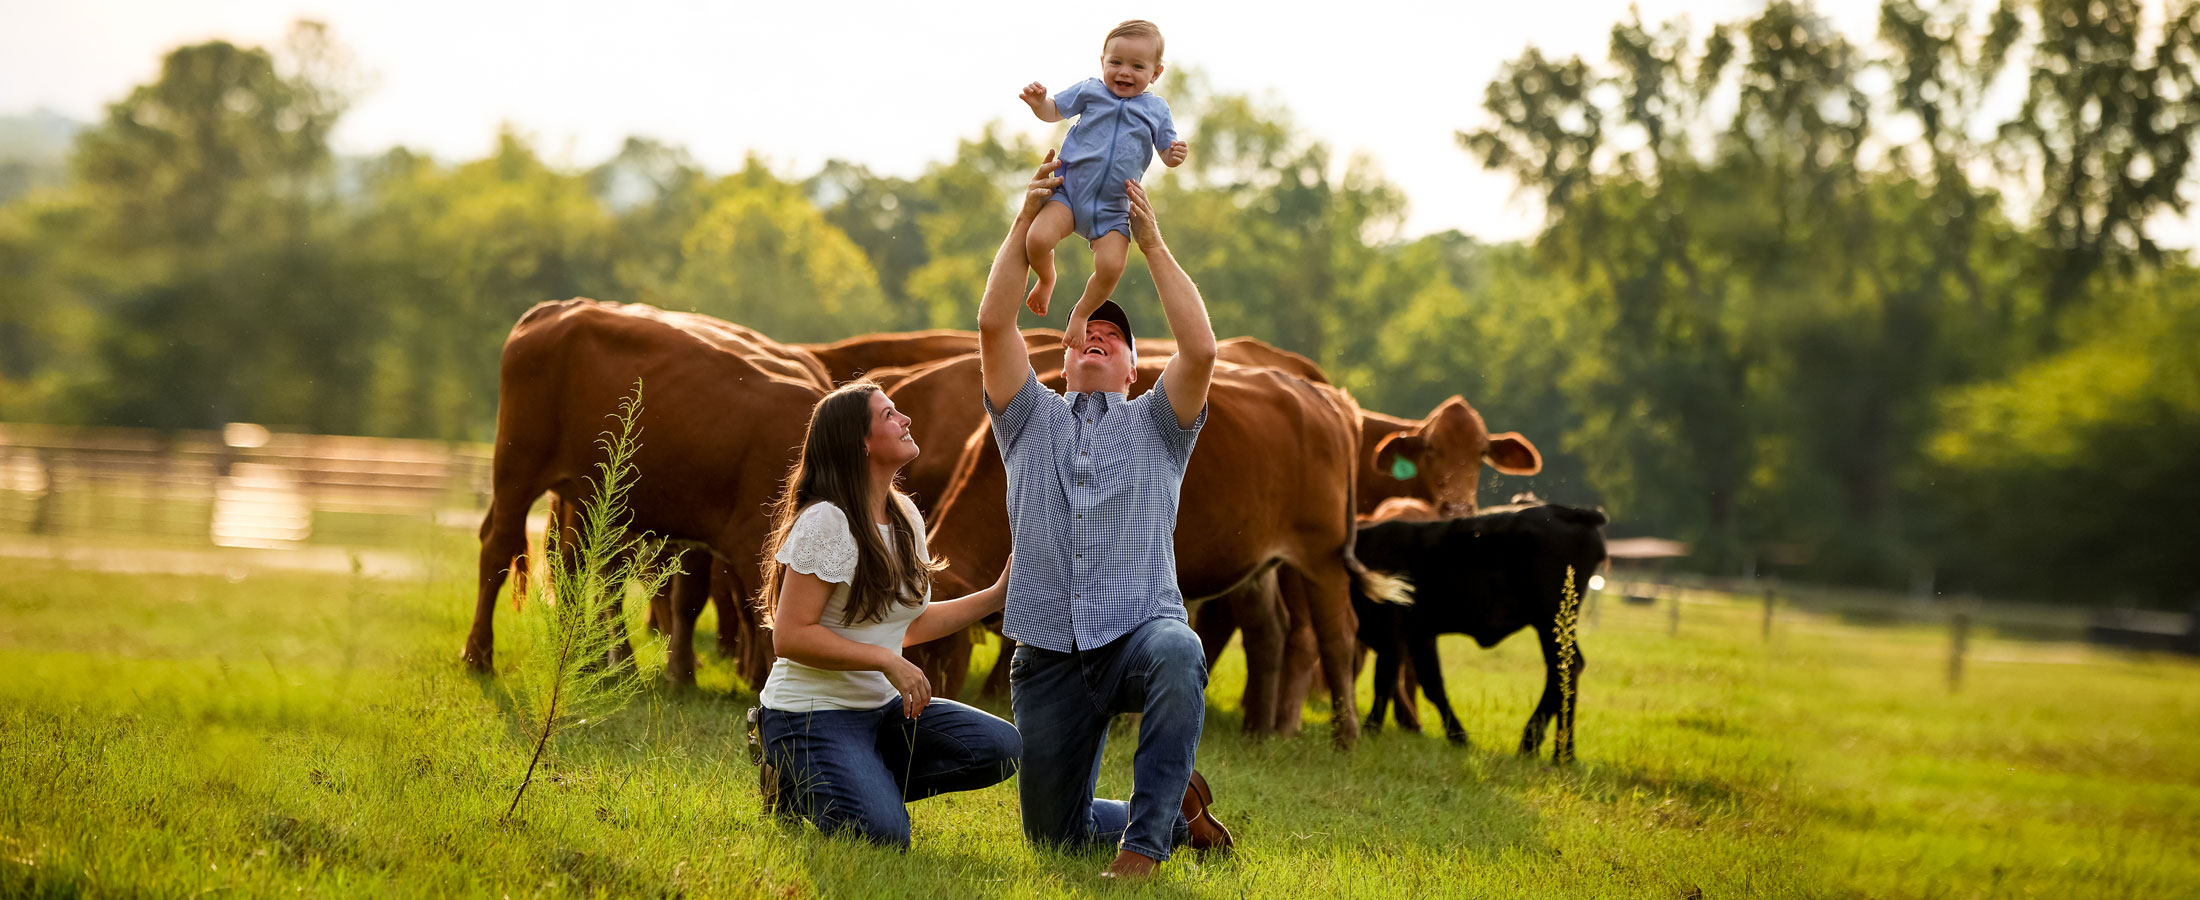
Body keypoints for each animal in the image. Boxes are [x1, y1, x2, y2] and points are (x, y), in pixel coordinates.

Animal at [462, 294, 827, 682]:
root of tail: (560, 308)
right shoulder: (756, 541)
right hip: (517, 470)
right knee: (499, 548)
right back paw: (479, 656)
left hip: (585, 495)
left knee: (577, 565)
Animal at [1346, 501, 1610, 761]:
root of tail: (1570, 511)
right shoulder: (1421, 636)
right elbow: (1433, 685)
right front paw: (1458, 737)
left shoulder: (1392, 632)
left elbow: (1384, 680)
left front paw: (1371, 730)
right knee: (1566, 670)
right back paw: (1558, 751)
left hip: (1551, 618)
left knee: (1565, 668)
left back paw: (1544, 747)